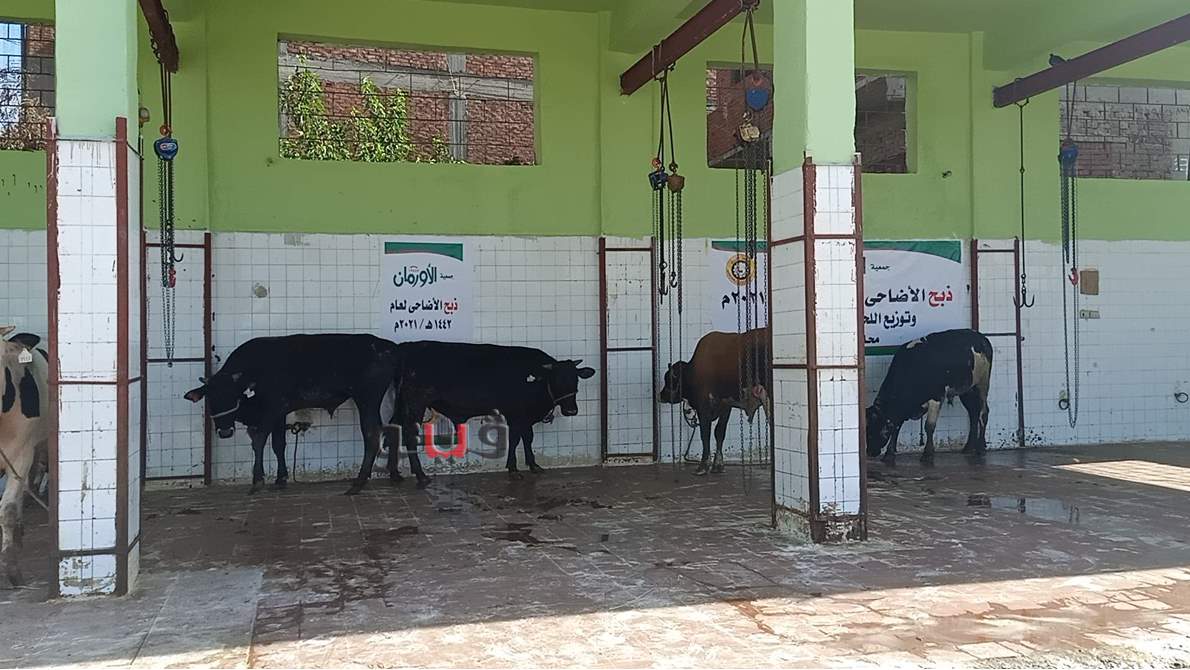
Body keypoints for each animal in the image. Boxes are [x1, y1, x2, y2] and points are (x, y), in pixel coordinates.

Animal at [184, 334, 427, 494]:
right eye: (211, 400)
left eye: (233, 396)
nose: (225, 432)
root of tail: (389, 346)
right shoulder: (280, 413)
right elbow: (279, 444)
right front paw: (281, 478)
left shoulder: (273, 408)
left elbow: (260, 440)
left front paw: (257, 480)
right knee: (398, 429)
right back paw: (410, 476)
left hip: (367, 399)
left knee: (372, 433)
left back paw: (359, 482)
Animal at [389, 342, 595, 479]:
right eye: (557, 380)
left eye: (575, 380)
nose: (571, 410)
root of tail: (407, 347)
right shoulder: (516, 415)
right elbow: (516, 439)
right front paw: (514, 468)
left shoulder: (525, 417)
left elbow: (527, 438)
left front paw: (533, 465)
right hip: (415, 405)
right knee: (409, 435)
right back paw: (420, 476)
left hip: (401, 405)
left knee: (393, 429)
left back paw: (395, 474)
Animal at [658, 329, 771, 476]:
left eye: (668, 379)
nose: (660, 395)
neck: (694, 370)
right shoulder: (725, 405)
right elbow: (719, 433)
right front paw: (718, 464)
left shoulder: (703, 405)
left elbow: (705, 433)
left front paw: (703, 466)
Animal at [865, 328, 993, 466]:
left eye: (874, 429)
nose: (870, 452)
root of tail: (981, 337)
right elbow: (896, 426)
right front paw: (889, 455)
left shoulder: (936, 398)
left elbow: (929, 426)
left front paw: (928, 454)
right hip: (967, 390)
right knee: (973, 413)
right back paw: (969, 447)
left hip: (982, 385)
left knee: (983, 413)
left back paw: (980, 448)